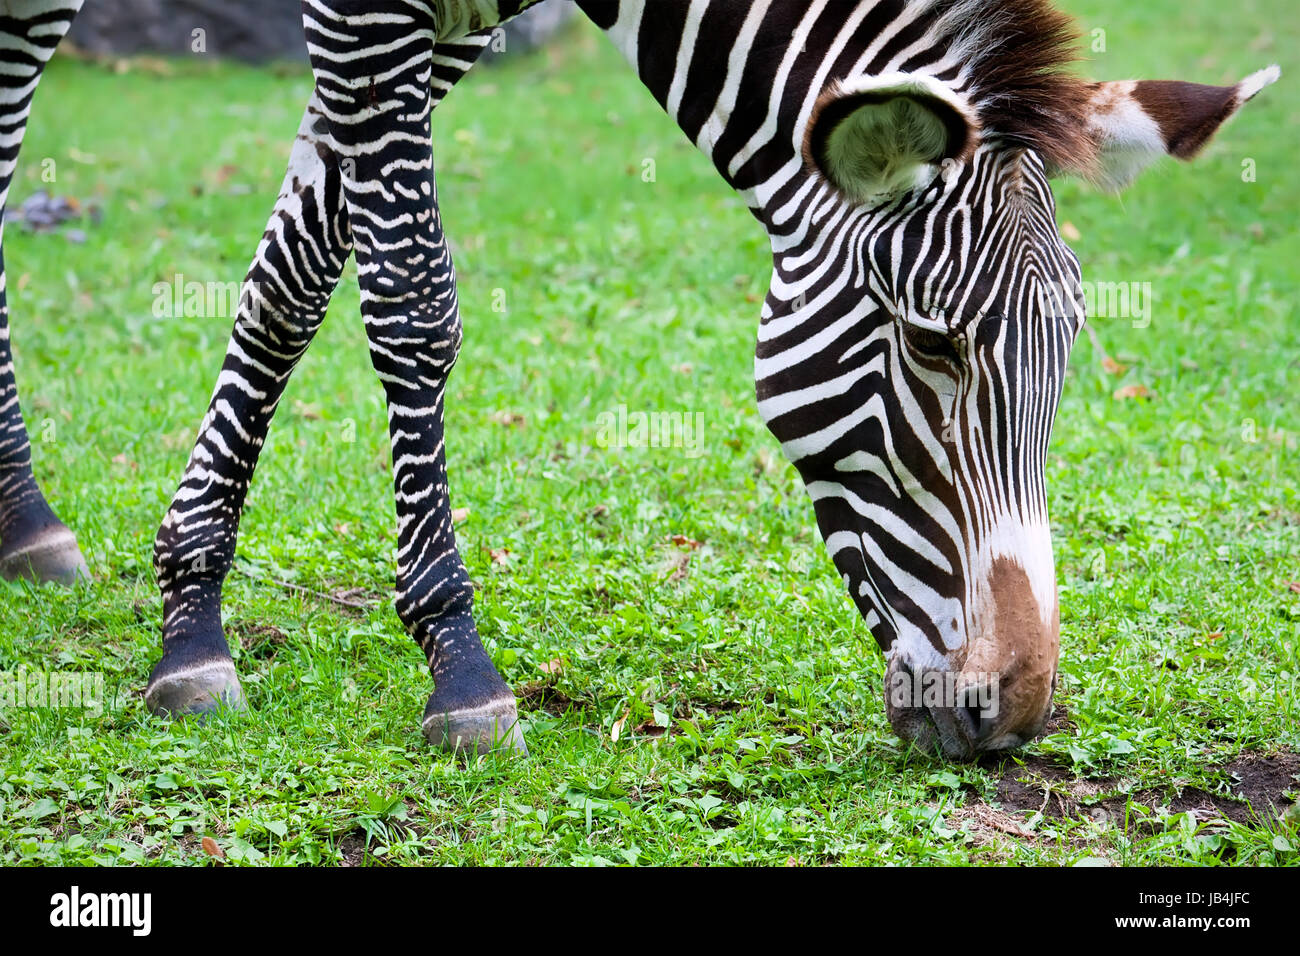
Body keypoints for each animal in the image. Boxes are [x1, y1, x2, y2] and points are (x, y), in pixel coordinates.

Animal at [0, 1, 1276, 759]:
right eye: (931, 346)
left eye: (1069, 355)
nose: (1011, 710)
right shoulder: (370, 16)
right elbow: (409, 297)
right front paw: (454, 659)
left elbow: (296, 269)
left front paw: (190, 609)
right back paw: (24, 511)